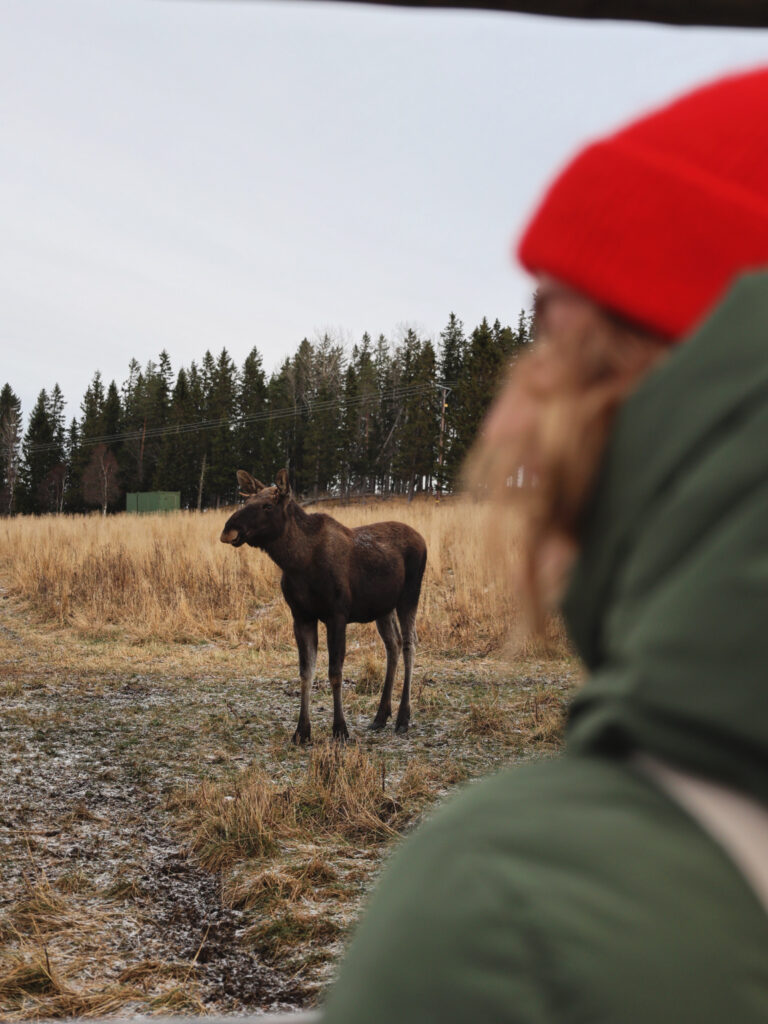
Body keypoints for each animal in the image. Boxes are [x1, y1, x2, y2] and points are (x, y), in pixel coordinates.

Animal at [220, 469, 428, 745]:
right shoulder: (301, 616)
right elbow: (306, 672)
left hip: (409, 596)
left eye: (267, 506)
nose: (228, 530)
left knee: (409, 644)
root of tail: (423, 539)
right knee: (392, 645)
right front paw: (301, 731)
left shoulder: (336, 615)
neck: (297, 562)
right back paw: (381, 716)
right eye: (247, 501)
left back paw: (403, 718)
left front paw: (339, 729)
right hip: (383, 607)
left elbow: (335, 672)